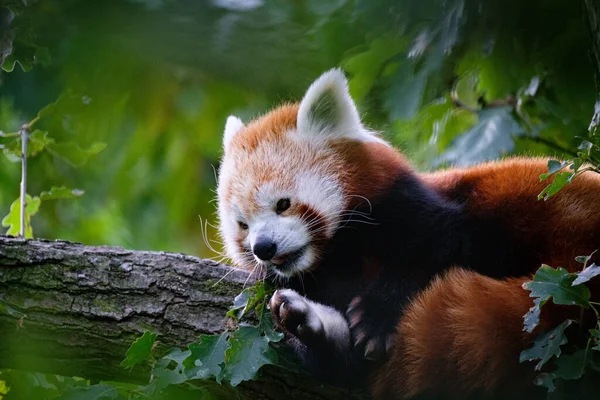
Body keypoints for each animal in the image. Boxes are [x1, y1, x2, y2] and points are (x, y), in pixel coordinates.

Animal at [216, 69, 600, 400]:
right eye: (243, 225)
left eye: (283, 204)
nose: (263, 247)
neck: (338, 255)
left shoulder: (418, 209)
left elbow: (429, 246)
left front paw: (376, 316)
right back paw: (307, 321)